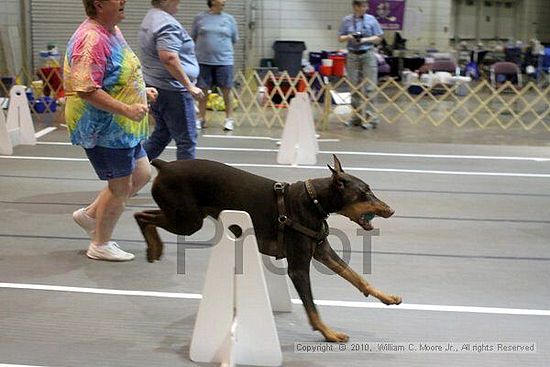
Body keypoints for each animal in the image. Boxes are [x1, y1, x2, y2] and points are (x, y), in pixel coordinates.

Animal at [136, 155, 404, 342]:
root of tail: (165, 165)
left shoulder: (322, 251)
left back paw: (154, 248)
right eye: (365, 192)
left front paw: (387, 297)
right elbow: (312, 307)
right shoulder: (298, 268)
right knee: (142, 216)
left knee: (145, 215)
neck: (314, 200)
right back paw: (153, 247)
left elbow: (356, 277)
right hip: (187, 221)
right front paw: (329, 333)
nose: (391, 210)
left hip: (185, 217)